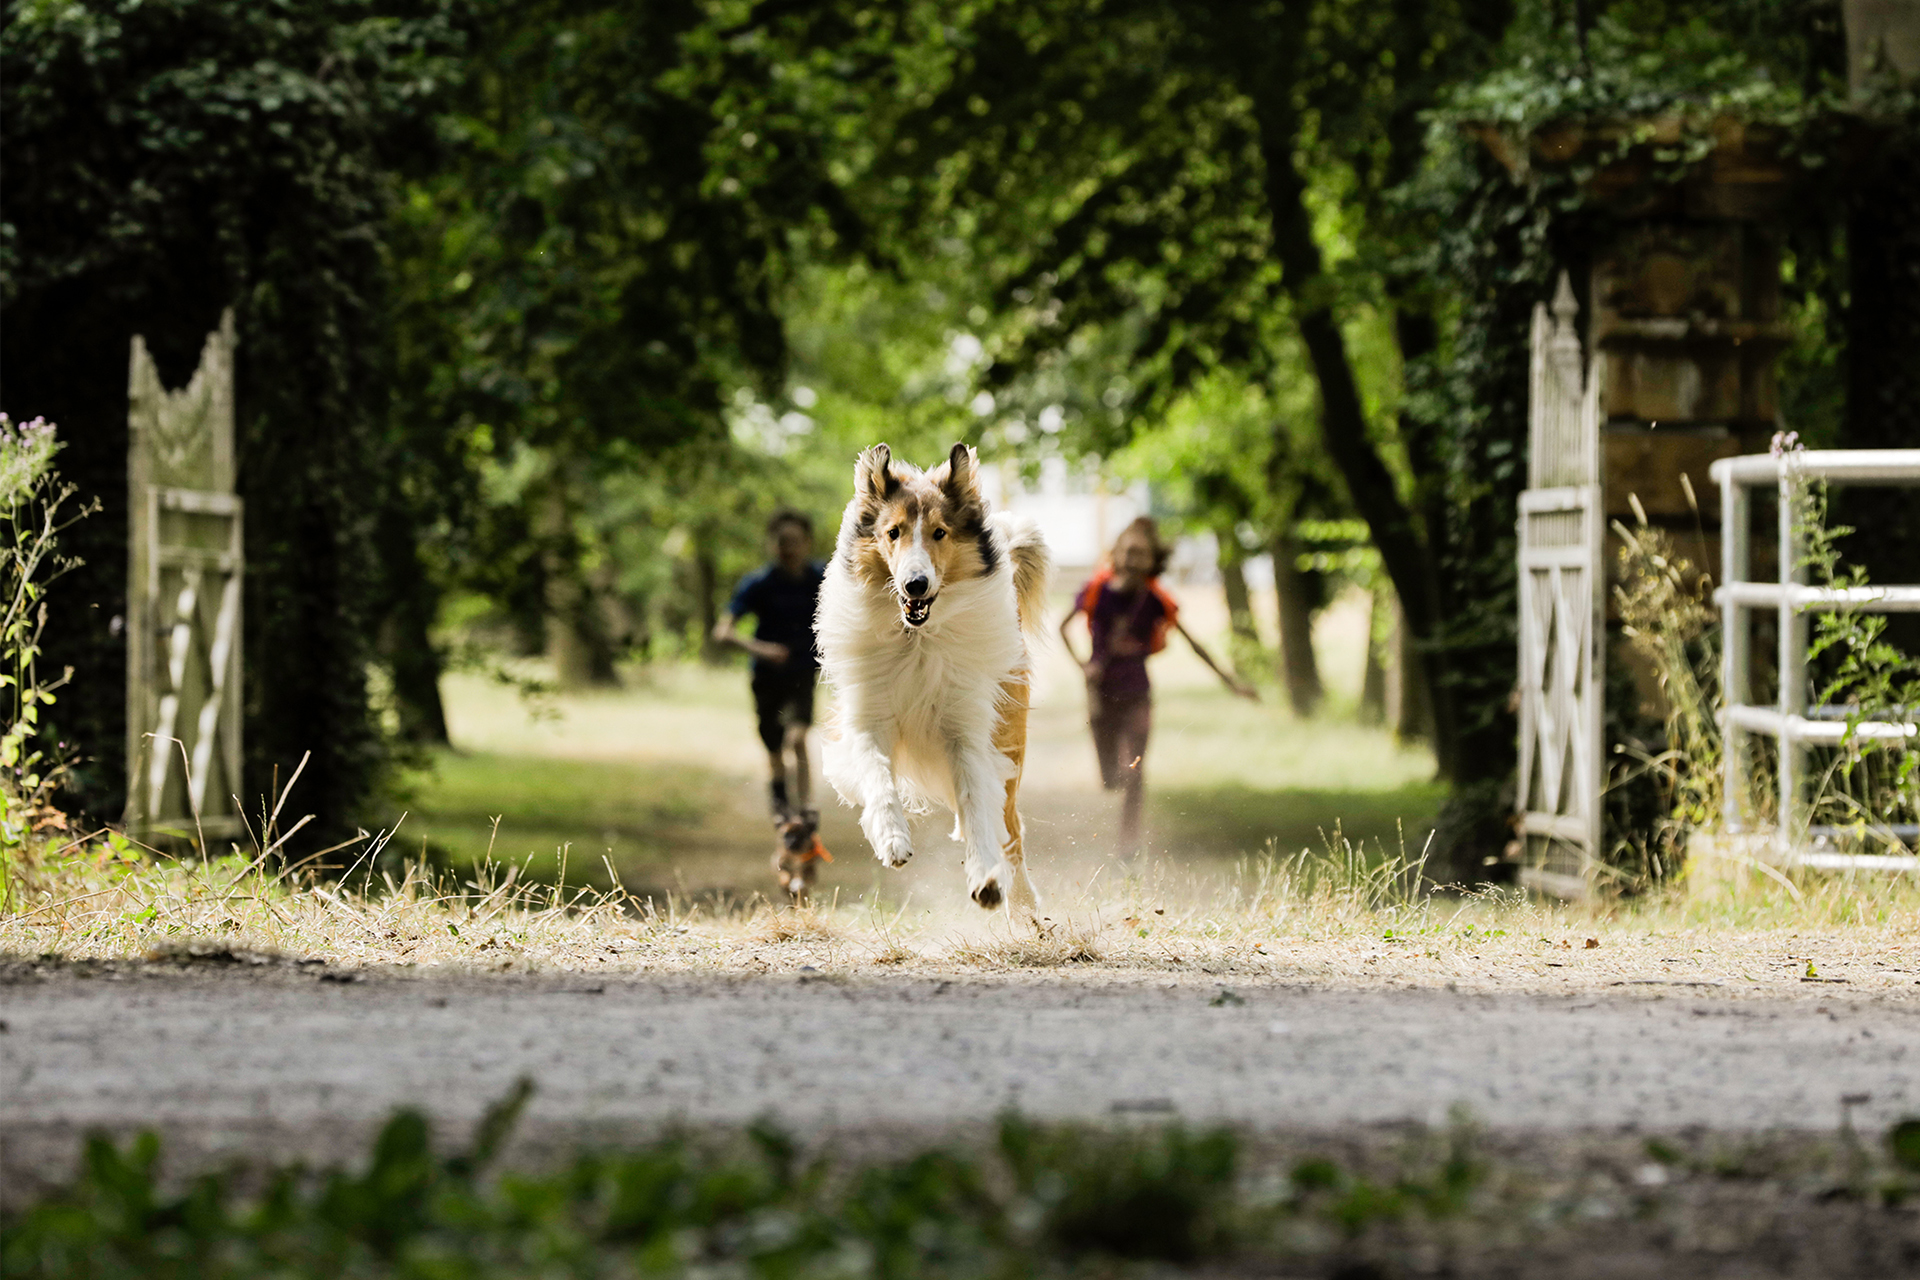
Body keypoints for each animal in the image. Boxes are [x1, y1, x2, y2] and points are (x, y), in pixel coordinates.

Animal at [810, 443, 1052, 921]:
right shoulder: (868, 720)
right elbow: (878, 779)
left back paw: (1023, 902)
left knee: (1011, 830)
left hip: (1009, 744)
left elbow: (977, 803)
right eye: (893, 532)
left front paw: (986, 879)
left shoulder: (967, 732)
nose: (915, 585)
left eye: (940, 533)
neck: (916, 638)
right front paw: (893, 841)